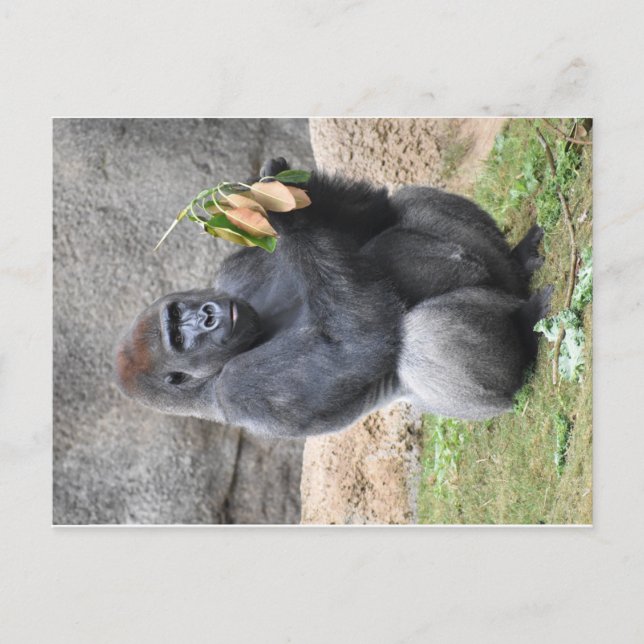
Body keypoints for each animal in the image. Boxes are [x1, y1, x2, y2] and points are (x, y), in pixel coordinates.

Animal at [115, 157, 550, 437]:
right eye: (178, 337)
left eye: (179, 315)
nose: (206, 315)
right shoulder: (236, 390)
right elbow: (356, 345)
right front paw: (287, 213)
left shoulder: (233, 275)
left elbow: (366, 222)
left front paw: (285, 189)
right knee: (421, 340)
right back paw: (526, 333)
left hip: (501, 284)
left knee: (406, 204)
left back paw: (519, 263)